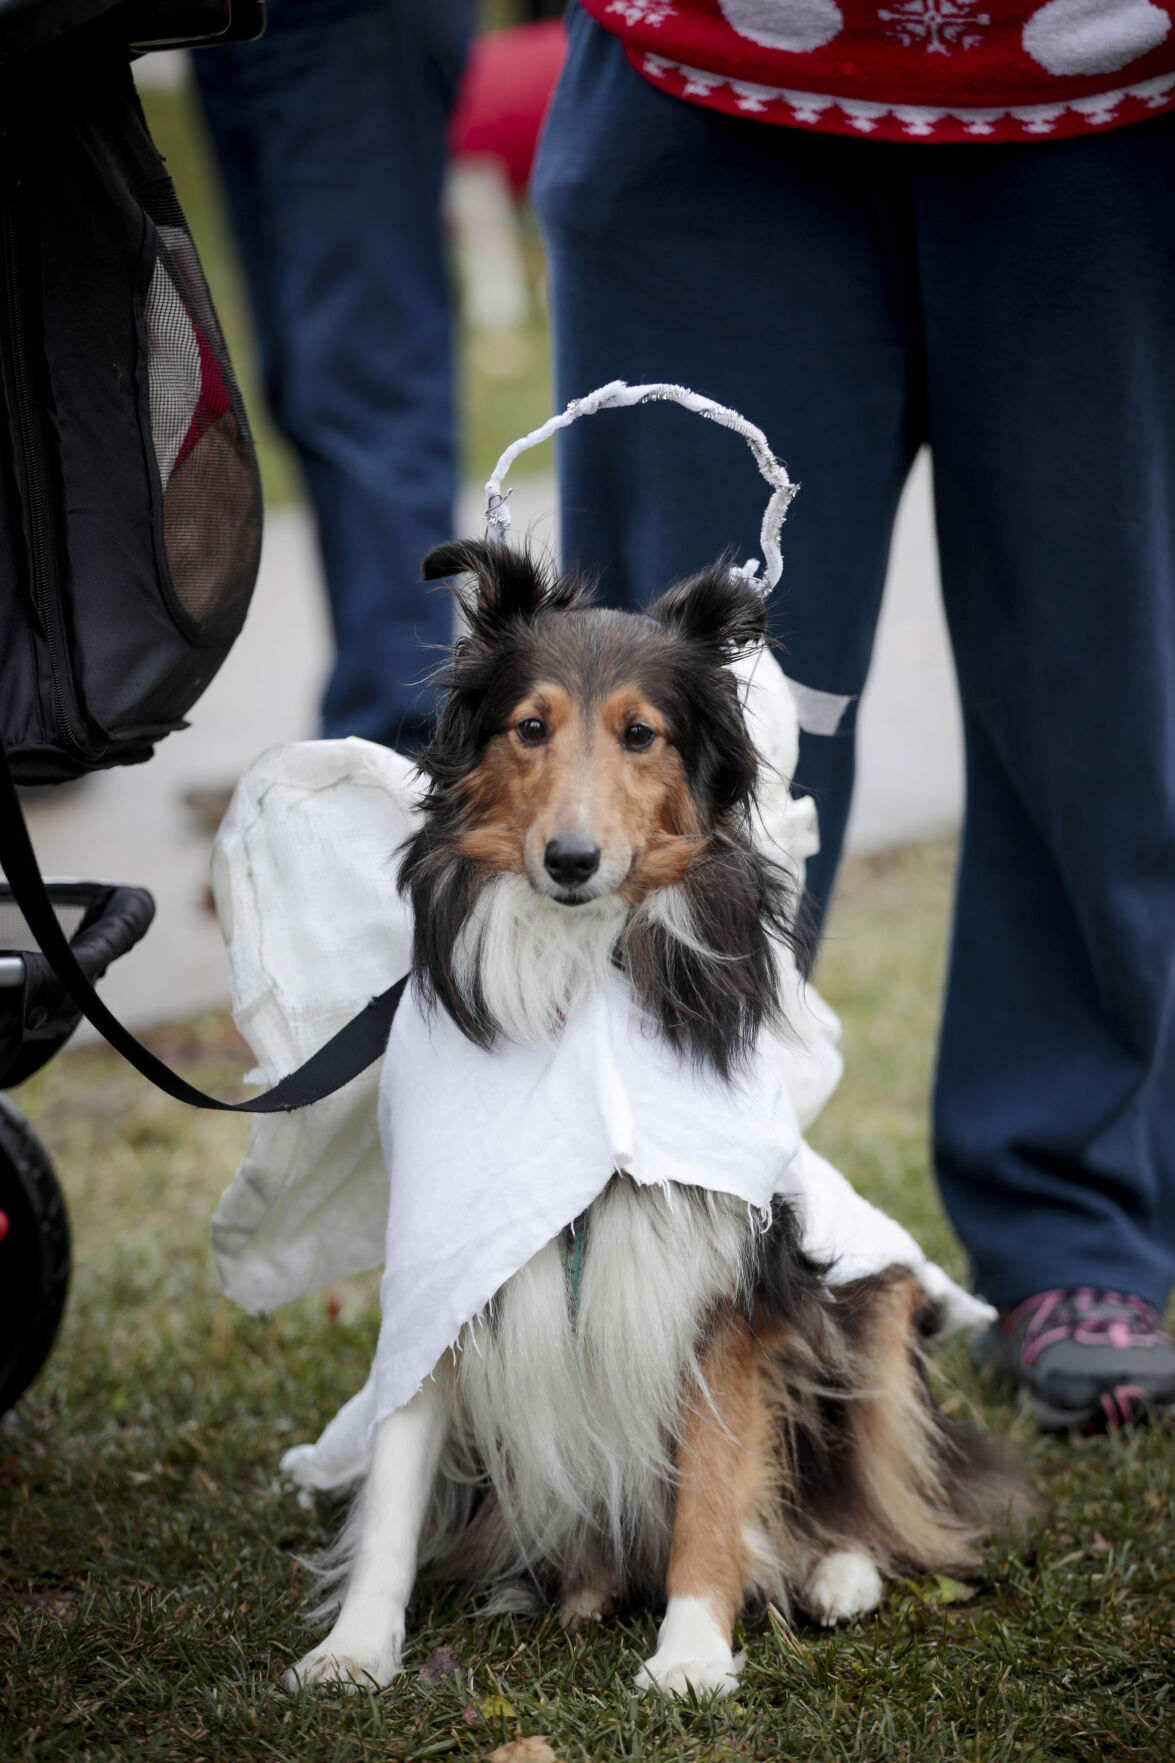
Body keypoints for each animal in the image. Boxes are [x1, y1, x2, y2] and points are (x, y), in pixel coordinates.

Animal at [285, 535, 1037, 1692]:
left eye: (640, 733)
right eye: (530, 727)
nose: (570, 861)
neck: (579, 968)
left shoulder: (722, 1282)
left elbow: (717, 1483)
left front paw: (691, 1651)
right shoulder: (443, 1267)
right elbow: (396, 1486)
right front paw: (354, 1649)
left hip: (873, 1305)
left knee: (868, 1495)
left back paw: (834, 1575)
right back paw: (567, 1584)